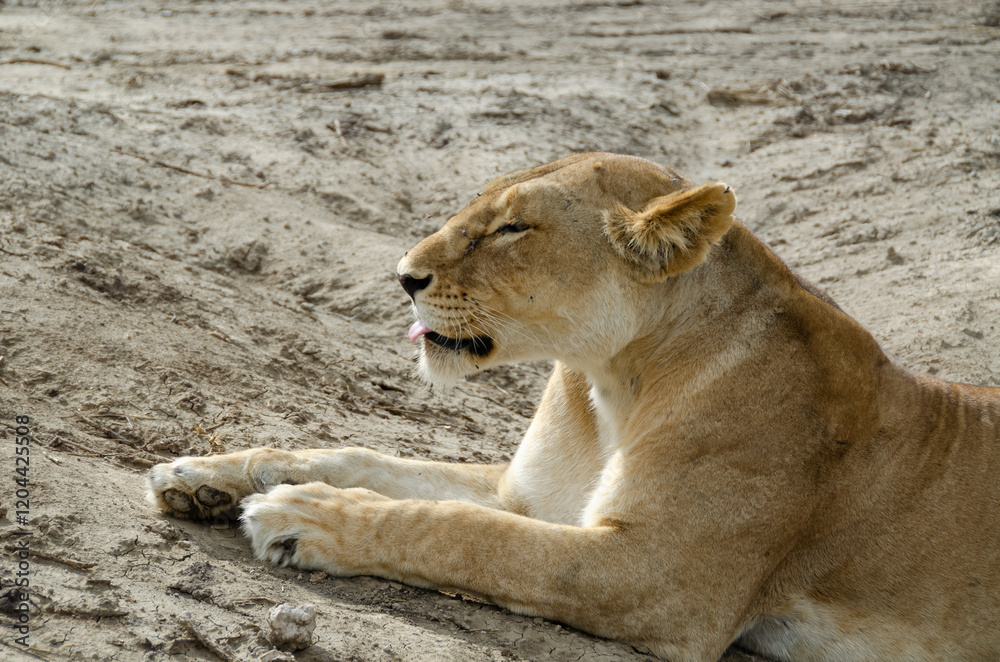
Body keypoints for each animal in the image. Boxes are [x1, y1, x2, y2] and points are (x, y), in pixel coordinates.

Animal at [148, 153, 1000, 662]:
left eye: (512, 228)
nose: (402, 276)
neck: (610, 379)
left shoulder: (660, 578)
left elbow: (463, 535)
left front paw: (302, 514)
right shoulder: (527, 493)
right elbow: (367, 458)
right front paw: (206, 473)